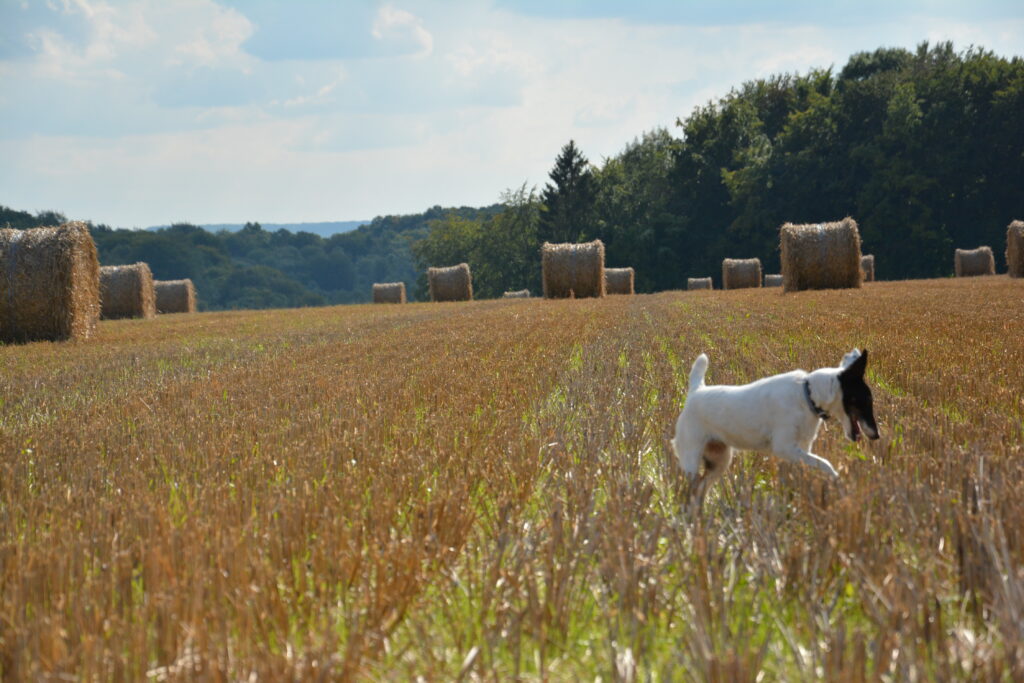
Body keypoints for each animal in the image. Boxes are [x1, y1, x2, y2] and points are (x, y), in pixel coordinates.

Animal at [671, 350, 880, 505]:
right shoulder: (784, 448)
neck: (807, 396)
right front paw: (839, 483)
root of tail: (696, 391)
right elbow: (826, 464)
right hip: (691, 459)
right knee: (690, 487)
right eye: (866, 399)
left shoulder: (800, 450)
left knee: (700, 489)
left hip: (719, 461)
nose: (877, 435)